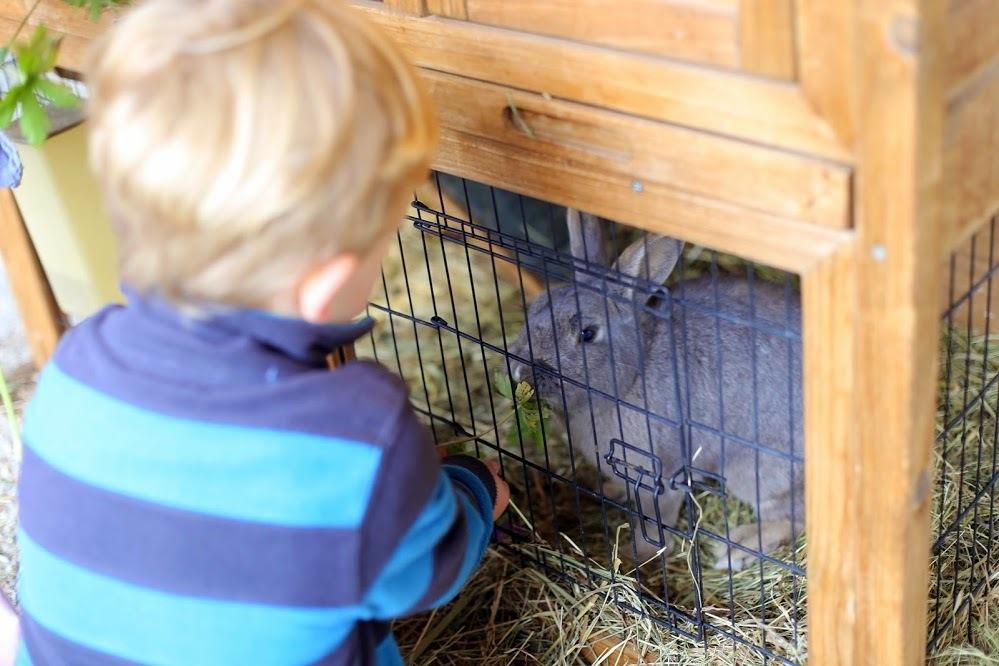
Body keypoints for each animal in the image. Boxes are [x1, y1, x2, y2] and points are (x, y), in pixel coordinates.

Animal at [508, 210, 804, 568]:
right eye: (536, 306)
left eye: (587, 333)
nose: (519, 371)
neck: (635, 371)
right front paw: (609, 492)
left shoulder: (661, 471)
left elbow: (655, 520)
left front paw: (635, 557)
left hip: (757, 472)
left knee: (793, 516)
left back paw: (736, 548)